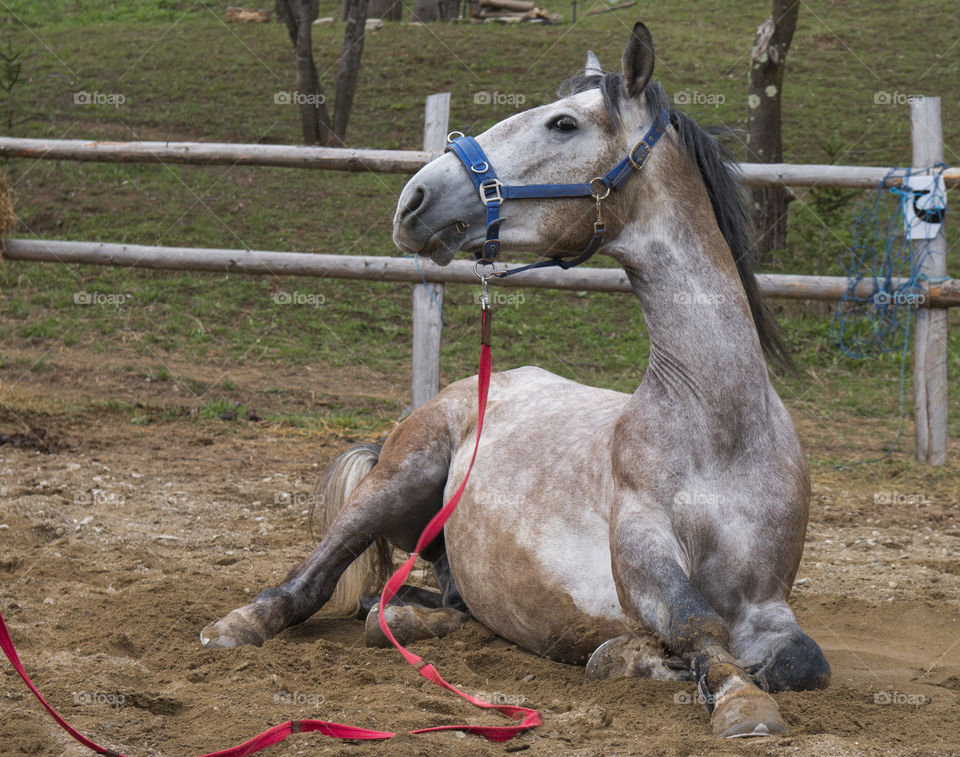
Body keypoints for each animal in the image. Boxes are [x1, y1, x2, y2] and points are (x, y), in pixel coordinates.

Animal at [199, 20, 828, 736]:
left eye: (563, 123)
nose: (414, 199)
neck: (719, 428)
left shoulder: (769, 600)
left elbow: (800, 662)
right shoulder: (642, 554)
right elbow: (694, 624)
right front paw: (725, 695)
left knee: (410, 607)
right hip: (396, 480)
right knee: (317, 581)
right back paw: (241, 623)